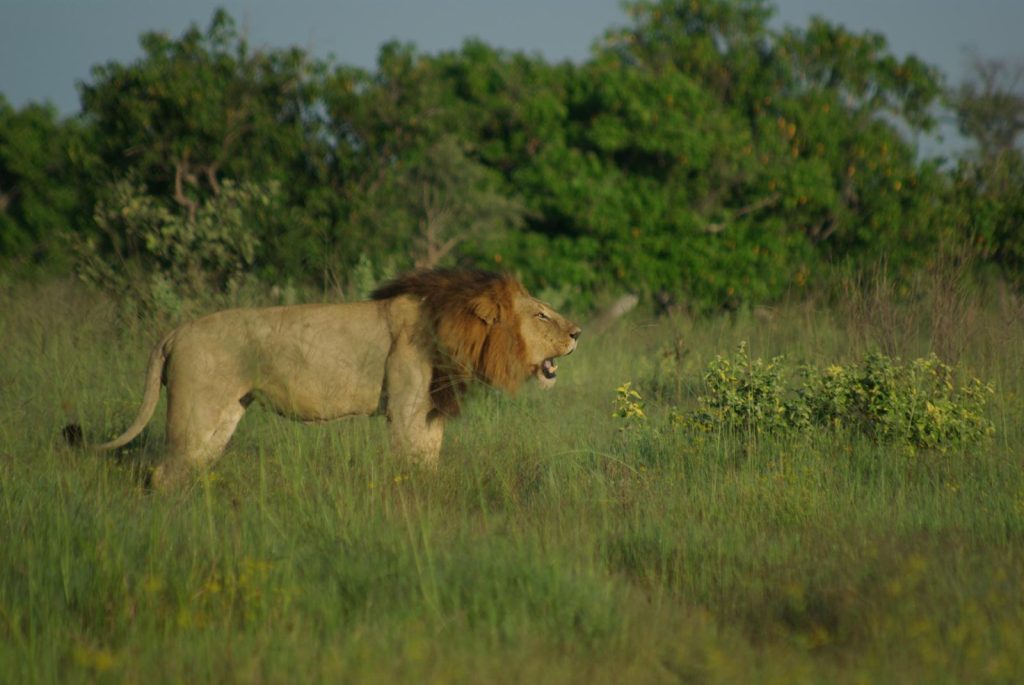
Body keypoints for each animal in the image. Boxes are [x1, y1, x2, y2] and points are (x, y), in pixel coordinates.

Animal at [71, 266, 581, 485]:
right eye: (540, 314)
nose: (578, 332)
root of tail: (174, 332)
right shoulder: (407, 410)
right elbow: (411, 463)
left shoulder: (431, 411)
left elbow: (430, 461)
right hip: (194, 413)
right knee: (162, 473)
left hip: (222, 415)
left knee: (190, 465)